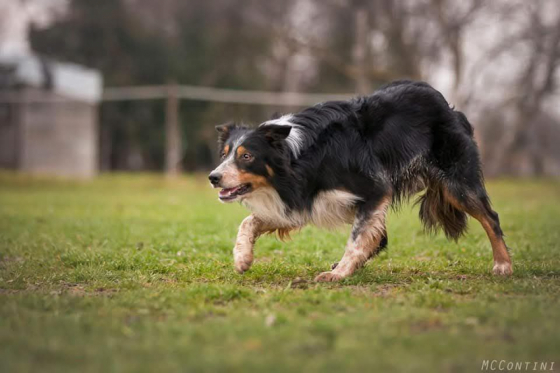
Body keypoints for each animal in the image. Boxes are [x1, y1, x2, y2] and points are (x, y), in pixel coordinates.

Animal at [207, 80, 512, 280]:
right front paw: (242, 259)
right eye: (224, 154)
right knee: (381, 238)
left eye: (247, 157)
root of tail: (449, 107)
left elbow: (357, 238)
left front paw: (339, 274)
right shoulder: (302, 198)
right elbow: (249, 221)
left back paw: (503, 265)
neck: (296, 155)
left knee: (490, 217)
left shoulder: (374, 187)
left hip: (455, 179)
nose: (213, 177)